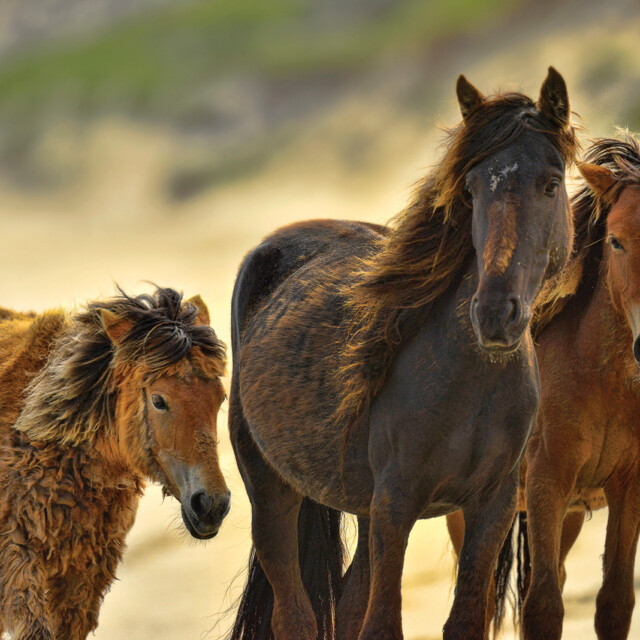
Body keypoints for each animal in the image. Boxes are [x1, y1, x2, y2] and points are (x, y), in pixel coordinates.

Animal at [227, 67, 577, 640]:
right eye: (471, 188)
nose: (494, 313)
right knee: (296, 615)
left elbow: (461, 620)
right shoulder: (397, 504)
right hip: (272, 491)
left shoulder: (494, 504)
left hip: (362, 507)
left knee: (346, 604)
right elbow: (382, 624)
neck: (470, 383)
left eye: (550, 183)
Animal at [446, 133, 640, 640]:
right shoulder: (547, 481)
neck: (602, 378)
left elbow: (614, 602)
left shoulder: (627, 487)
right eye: (615, 241)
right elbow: (543, 608)